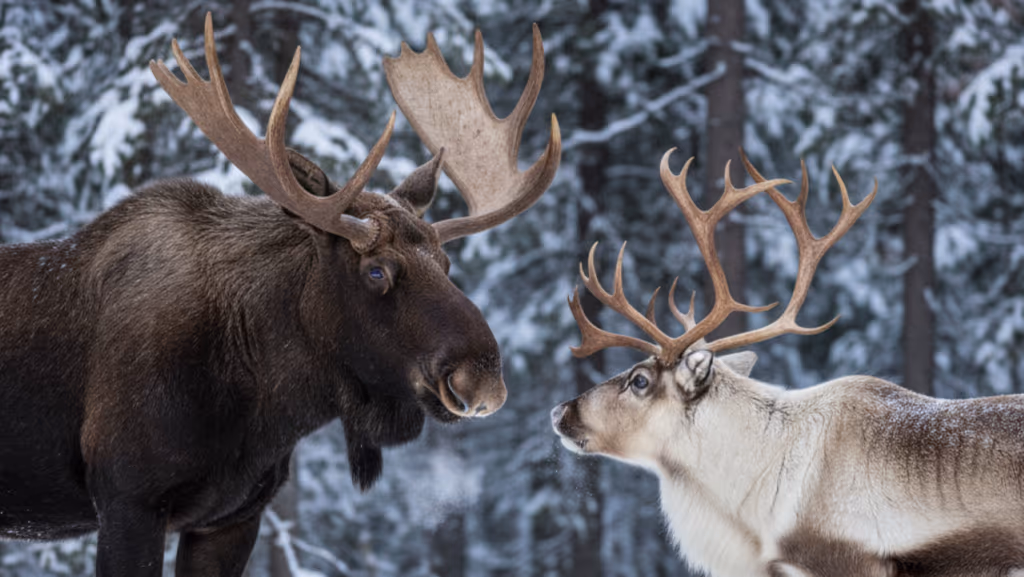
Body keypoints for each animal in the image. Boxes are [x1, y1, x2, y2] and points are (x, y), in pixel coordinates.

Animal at [0, 14, 560, 577]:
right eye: (376, 271)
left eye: (446, 264)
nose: (482, 378)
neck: (265, 402)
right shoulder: (128, 500)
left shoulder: (233, 516)